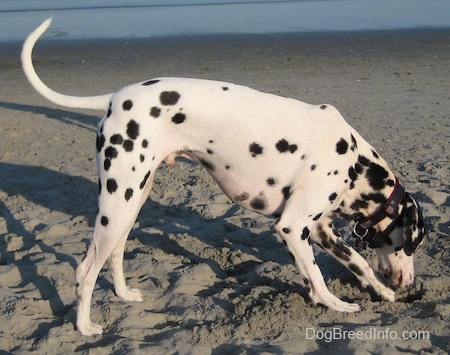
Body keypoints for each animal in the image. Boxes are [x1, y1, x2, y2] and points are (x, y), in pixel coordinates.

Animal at [22, 18, 426, 336]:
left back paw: (124, 295)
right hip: (117, 205)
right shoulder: (292, 227)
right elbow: (316, 275)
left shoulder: (320, 229)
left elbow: (357, 263)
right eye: (411, 246)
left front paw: (381, 292)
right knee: (86, 269)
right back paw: (84, 327)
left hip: (130, 203)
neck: (352, 160)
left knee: (115, 255)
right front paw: (335, 304)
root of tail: (116, 98)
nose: (409, 284)